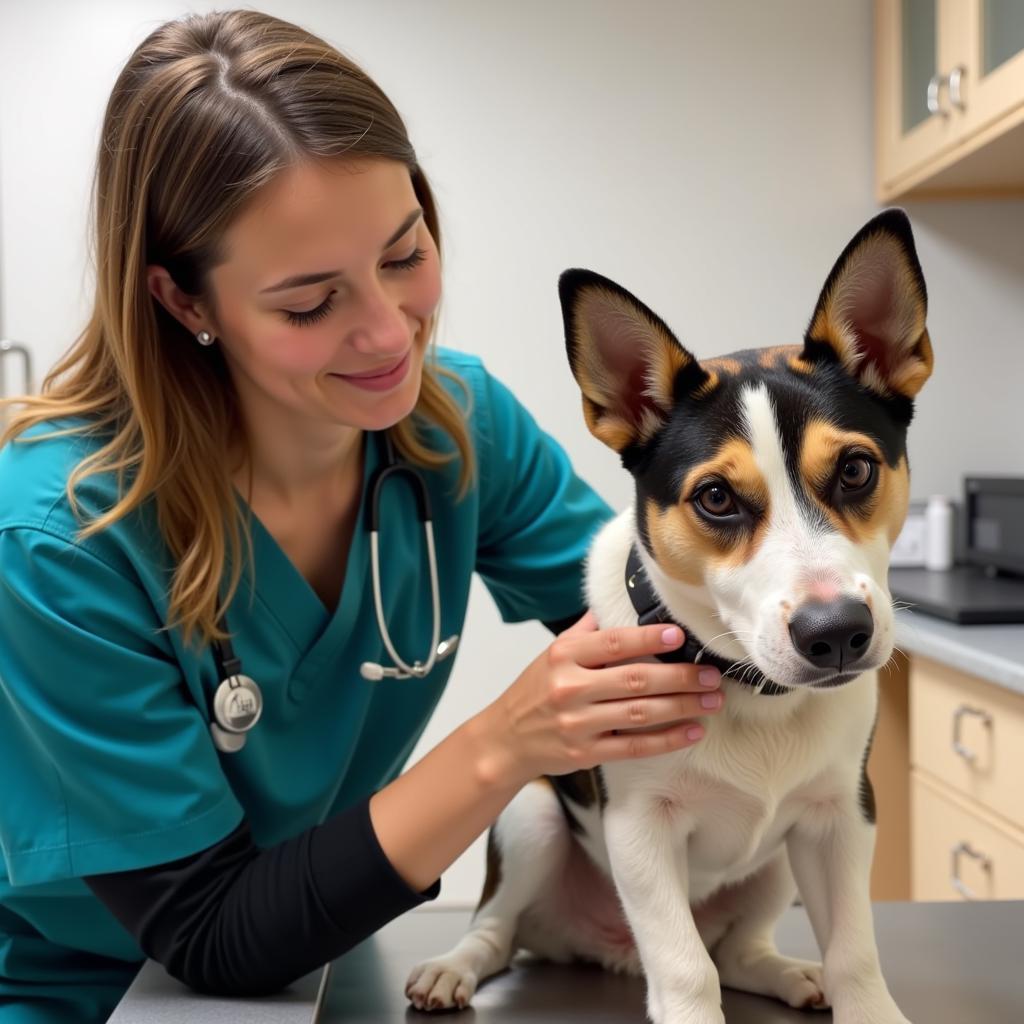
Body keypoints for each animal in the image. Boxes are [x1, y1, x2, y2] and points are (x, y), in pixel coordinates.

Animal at [405, 209, 929, 1024]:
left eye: (855, 469)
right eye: (716, 497)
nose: (838, 633)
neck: (749, 690)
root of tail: (604, 949)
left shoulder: (841, 816)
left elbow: (856, 953)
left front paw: (863, 1002)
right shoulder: (638, 828)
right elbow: (686, 969)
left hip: (775, 868)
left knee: (738, 952)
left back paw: (788, 972)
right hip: (530, 816)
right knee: (495, 930)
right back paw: (452, 970)